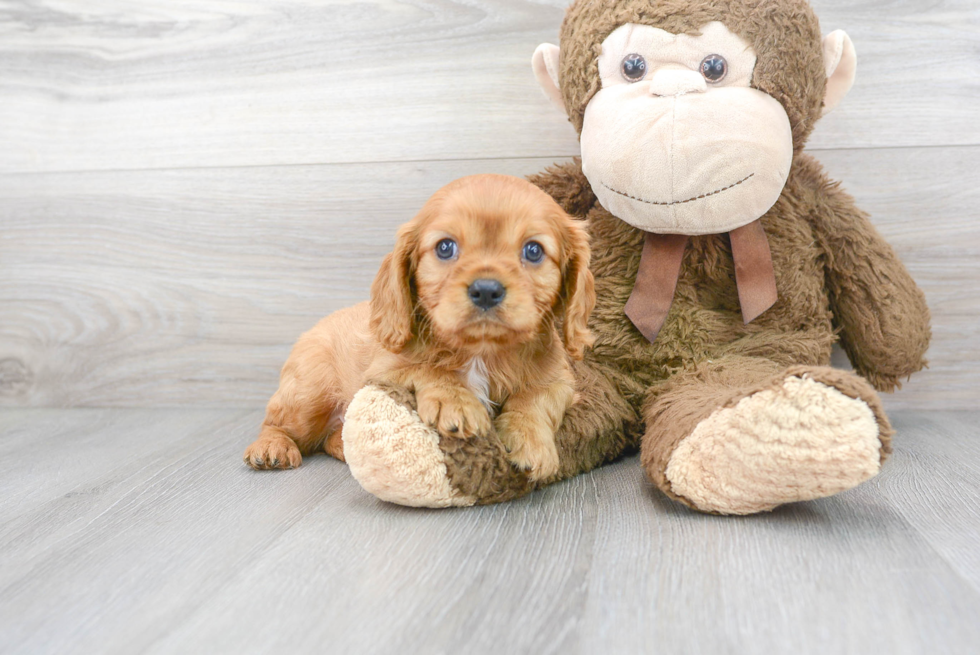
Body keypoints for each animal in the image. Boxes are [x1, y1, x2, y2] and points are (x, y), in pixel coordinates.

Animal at [245, 174, 596, 482]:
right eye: (445, 247)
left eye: (533, 250)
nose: (486, 290)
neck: (481, 350)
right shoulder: (382, 372)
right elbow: (427, 368)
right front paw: (456, 402)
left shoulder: (561, 382)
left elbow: (535, 400)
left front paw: (530, 441)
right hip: (308, 395)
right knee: (277, 423)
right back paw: (272, 447)